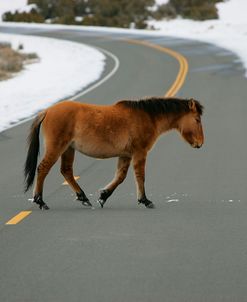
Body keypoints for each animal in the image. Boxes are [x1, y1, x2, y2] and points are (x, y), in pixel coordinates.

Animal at [24, 97, 204, 210]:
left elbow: (120, 177)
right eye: (197, 119)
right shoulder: (139, 153)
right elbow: (140, 176)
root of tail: (47, 111)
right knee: (43, 169)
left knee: (66, 171)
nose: (200, 143)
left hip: (68, 149)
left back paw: (83, 198)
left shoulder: (126, 155)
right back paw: (40, 201)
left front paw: (103, 196)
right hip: (57, 148)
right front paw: (145, 200)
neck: (146, 117)